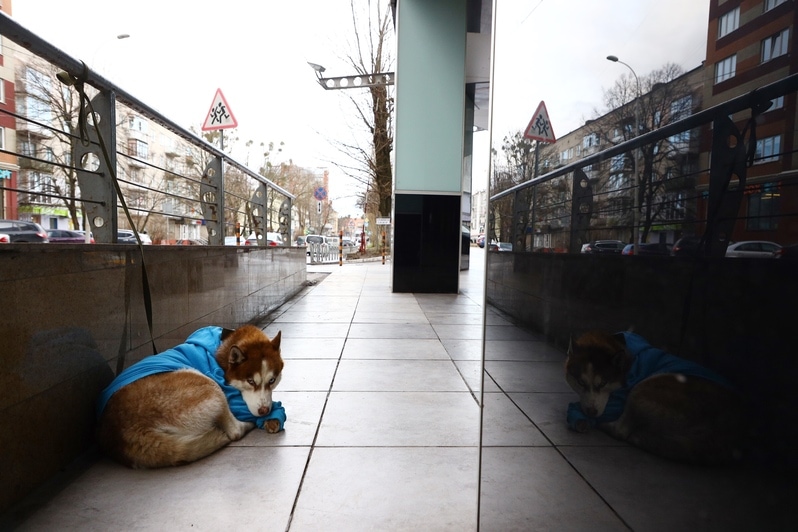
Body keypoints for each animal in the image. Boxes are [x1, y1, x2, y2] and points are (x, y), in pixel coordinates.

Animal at [97, 324, 286, 470]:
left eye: (272, 380)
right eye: (250, 381)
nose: (264, 411)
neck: (222, 347)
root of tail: (125, 430)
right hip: (206, 384)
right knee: (234, 431)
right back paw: (245, 425)